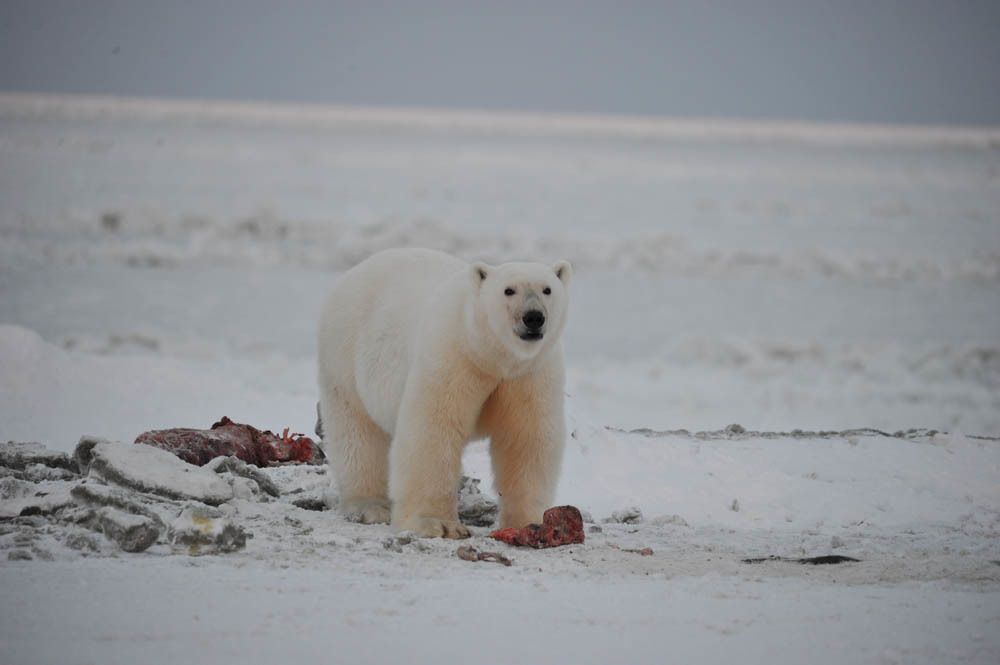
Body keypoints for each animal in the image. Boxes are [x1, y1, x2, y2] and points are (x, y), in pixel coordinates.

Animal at [317, 248, 571, 538]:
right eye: (509, 290)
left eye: (547, 289)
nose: (533, 317)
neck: (489, 355)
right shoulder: (452, 357)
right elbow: (433, 430)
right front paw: (436, 524)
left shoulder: (529, 374)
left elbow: (526, 438)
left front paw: (526, 522)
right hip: (344, 354)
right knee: (357, 432)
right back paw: (369, 506)